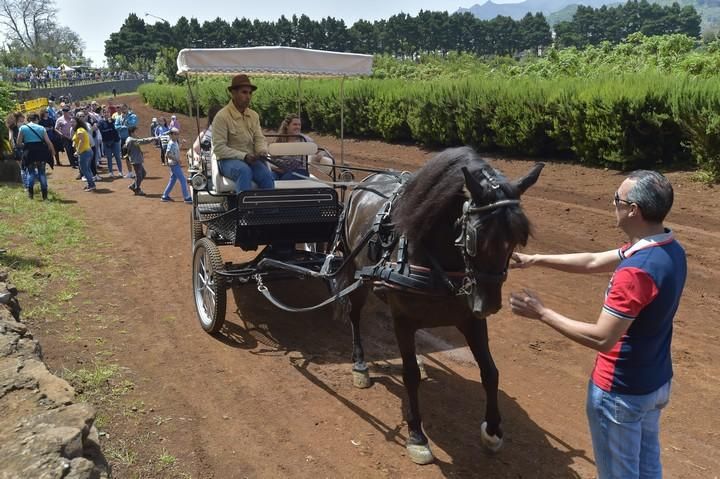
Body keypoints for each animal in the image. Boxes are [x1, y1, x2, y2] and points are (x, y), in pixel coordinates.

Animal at [340, 147, 544, 464]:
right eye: (475, 236)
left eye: (516, 240)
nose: (488, 304)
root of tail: (366, 181)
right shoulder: (404, 320)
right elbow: (410, 376)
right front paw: (416, 435)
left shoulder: (471, 320)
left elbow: (490, 371)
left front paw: (493, 430)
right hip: (355, 276)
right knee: (355, 316)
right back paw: (360, 365)